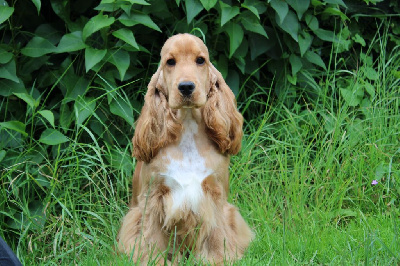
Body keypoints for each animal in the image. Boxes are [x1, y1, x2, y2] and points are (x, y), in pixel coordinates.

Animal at [117, 33, 253, 264]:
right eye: (170, 62)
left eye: (200, 60)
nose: (187, 87)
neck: (188, 127)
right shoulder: (152, 198)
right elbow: (151, 240)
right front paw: (154, 261)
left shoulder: (215, 196)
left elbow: (217, 237)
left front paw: (218, 260)